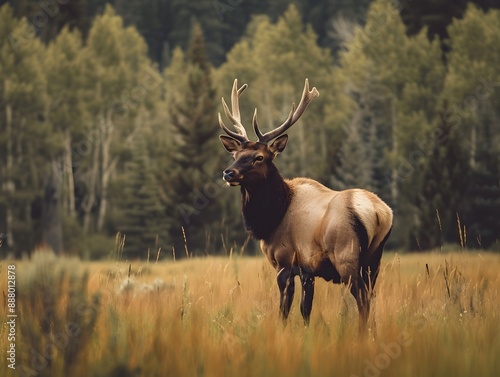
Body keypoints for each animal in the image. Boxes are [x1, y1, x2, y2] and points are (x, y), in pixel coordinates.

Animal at [219, 78, 394, 328]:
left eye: (259, 157)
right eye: (235, 155)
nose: (228, 173)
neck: (272, 219)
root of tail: (380, 213)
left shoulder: (285, 262)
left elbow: (284, 309)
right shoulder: (308, 270)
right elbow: (305, 310)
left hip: (347, 256)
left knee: (362, 299)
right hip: (374, 259)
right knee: (371, 296)